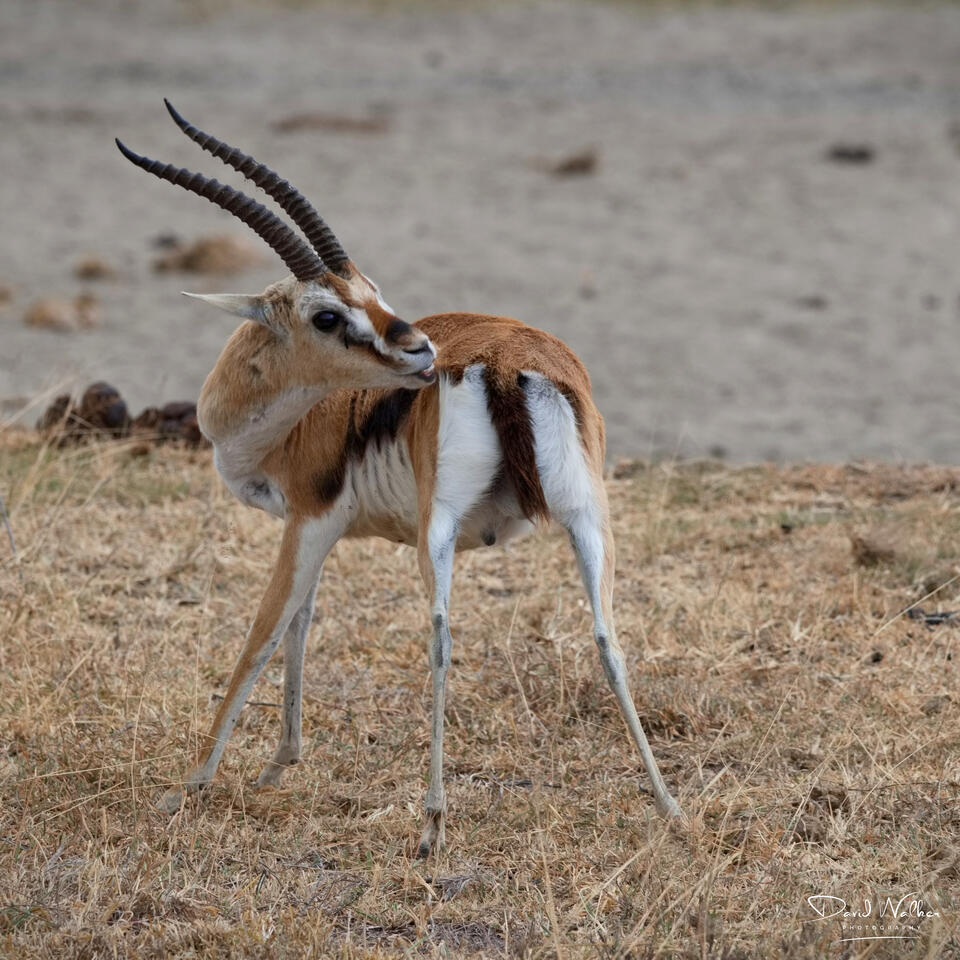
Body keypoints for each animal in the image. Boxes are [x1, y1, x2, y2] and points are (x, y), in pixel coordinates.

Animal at [116, 101, 682, 856]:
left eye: (366, 298)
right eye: (333, 310)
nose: (420, 350)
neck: (294, 421)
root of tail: (510, 362)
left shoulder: (309, 521)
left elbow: (264, 634)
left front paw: (187, 789)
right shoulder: (318, 531)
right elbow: (301, 626)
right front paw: (278, 765)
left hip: (436, 531)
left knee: (441, 637)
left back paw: (432, 824)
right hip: (589, 519)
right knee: (608, 638)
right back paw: (669, 806)